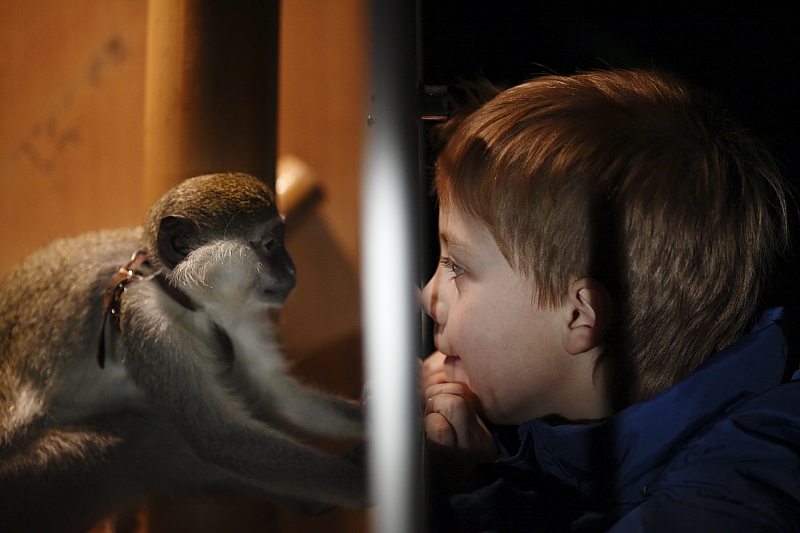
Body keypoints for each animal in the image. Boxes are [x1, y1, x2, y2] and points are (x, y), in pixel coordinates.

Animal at [0, 172, 366, 528]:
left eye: (280, 240)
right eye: (270, 244)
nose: (292, 271)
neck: (175, 291)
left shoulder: (237, 314)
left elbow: (277, 394)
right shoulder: (148, 325)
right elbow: (221, 436)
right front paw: (359, 483)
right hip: (33, 480)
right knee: (151, 438)